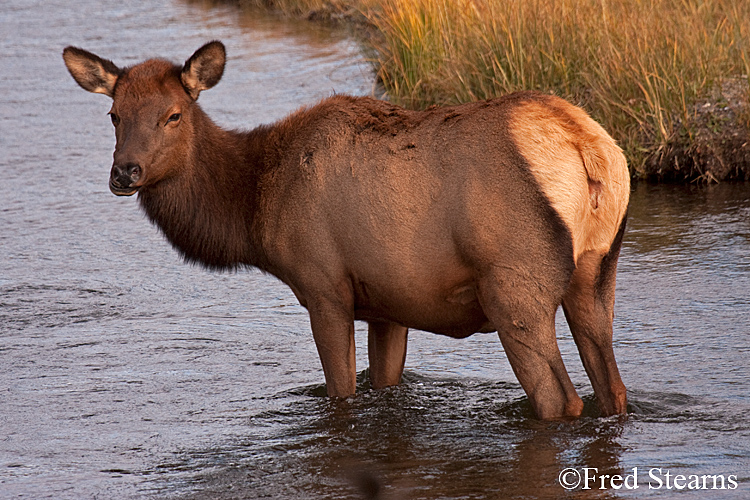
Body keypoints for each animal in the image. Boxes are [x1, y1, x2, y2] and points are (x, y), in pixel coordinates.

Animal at [63, 41, 636, 420]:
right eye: (114, 114)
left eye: (174, 114)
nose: (125, 172)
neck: (254, 206)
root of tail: (587, 148)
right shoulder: (390, 302)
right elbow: (385, 382)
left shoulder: (324, 286)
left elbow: (340, 392)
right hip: (598, 273)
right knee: (612, 389)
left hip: (514, 286)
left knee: (561, 400)